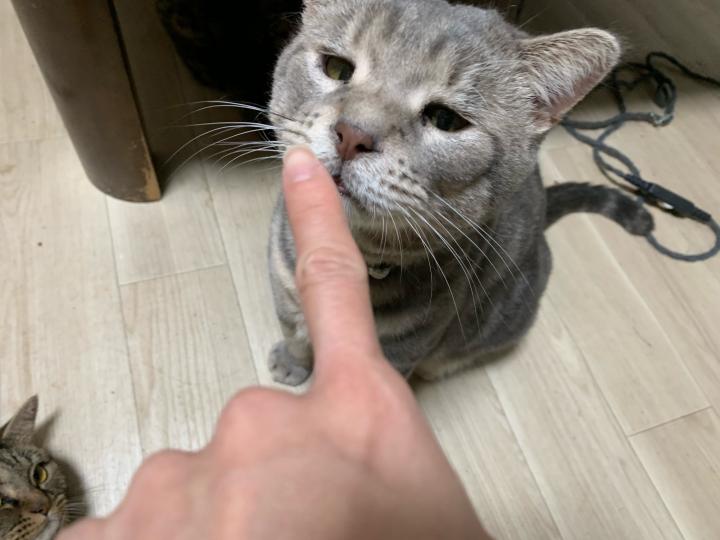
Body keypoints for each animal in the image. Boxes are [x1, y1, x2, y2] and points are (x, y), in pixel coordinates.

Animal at [266, 0, 653, 386]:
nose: (352, 135)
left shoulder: (401, 346)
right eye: (337, 67)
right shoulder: (283, 284)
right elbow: (290, 328)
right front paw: (290, 362)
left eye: (446, 119)